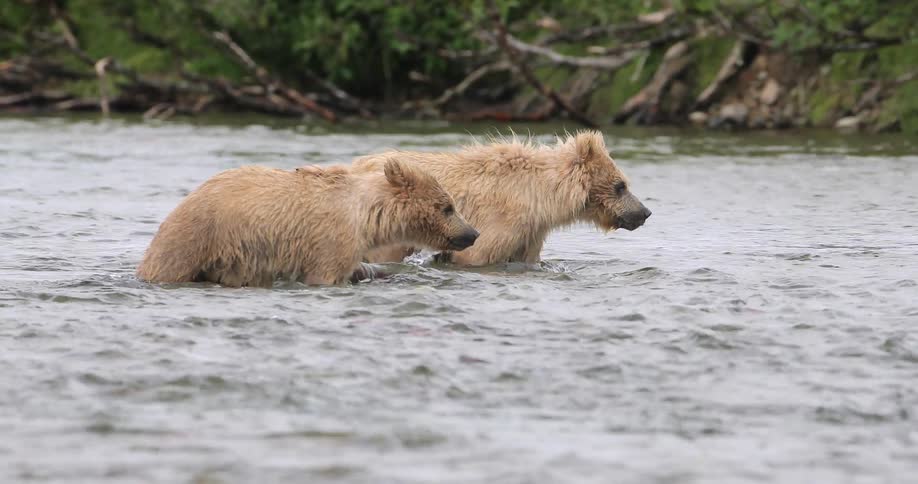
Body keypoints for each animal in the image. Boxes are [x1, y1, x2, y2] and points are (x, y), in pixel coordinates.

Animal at [135, 159, 479, 287]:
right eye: (448, 207)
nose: (472, 233)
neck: (367, 215)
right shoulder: (332, 238)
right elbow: (327, 274)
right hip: (196, 235)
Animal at [353, 131, 650, 266]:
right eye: (620, 185)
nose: (645, 212)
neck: (542, 196)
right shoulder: (502, 219)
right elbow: (477, 254)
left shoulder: (531, 230)